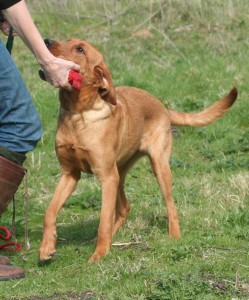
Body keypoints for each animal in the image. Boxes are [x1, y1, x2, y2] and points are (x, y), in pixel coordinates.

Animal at [39, 38, 237, 262]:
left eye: (80, 49)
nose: (46, 40)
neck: (78, 114)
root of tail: (163, 107)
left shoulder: (106, 176)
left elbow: (103, 221)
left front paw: (99, 255)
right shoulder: (70, 173)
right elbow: (50, 212)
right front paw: (46, 248)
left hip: (157, 166)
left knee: (169, 204)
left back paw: (174, 236)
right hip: (119, 173)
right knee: (124, 207)